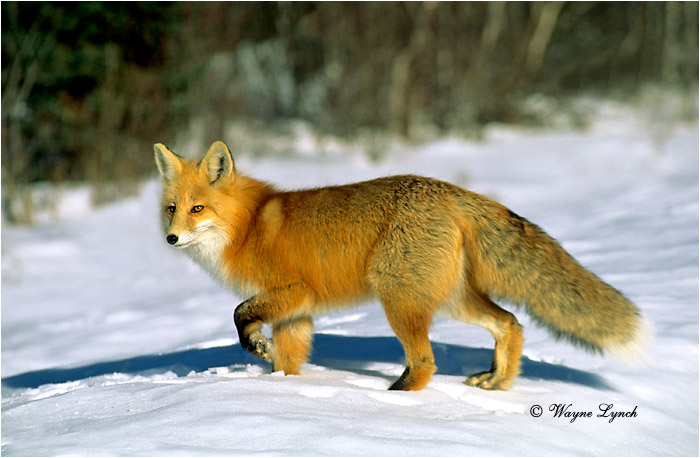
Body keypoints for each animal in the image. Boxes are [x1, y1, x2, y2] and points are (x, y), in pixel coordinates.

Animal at [154, 140, 650, 391]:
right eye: (172, 209)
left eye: (198, 209)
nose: (171, 238)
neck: (250, 224)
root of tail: (451, 190)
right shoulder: (297, 314)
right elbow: (288, 362)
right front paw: (284, 390)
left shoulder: (294, 291)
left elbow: (240, 314)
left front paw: (256, 348)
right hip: (451, 299)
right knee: (509, 322)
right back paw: (497, 381)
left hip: (399, 299)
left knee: (427, 363)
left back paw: (396, 402)